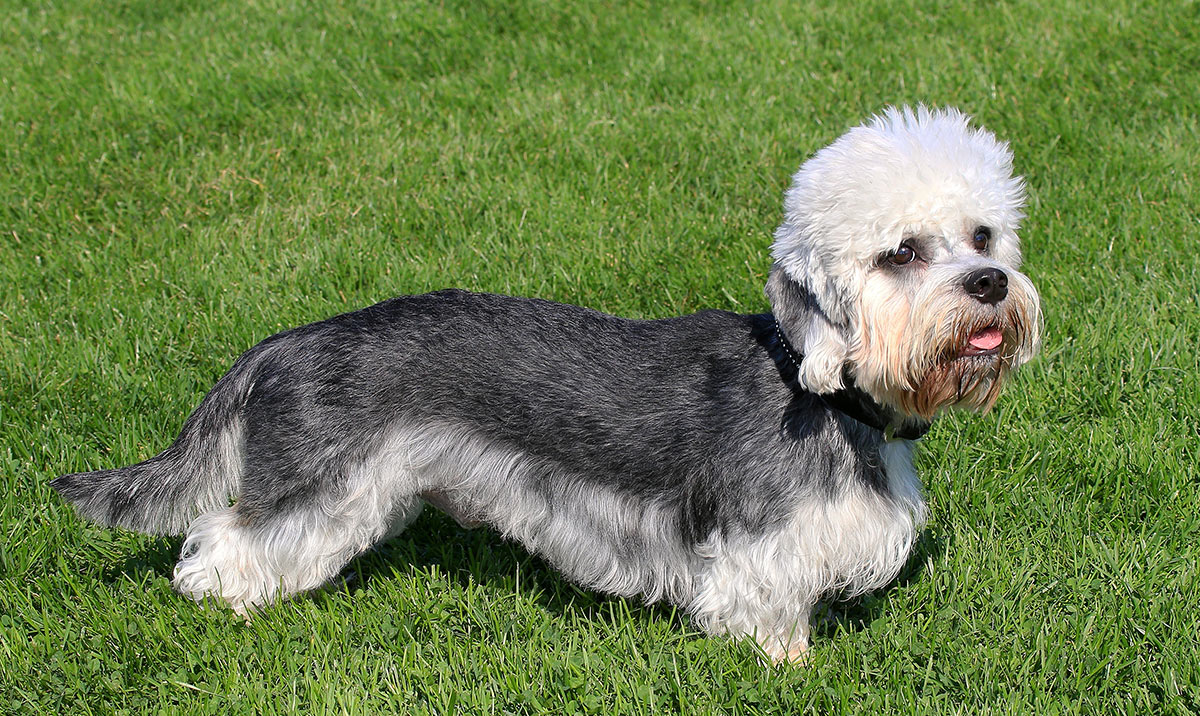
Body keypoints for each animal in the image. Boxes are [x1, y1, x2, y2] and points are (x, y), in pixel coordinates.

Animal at [51, 107, 1036, 666]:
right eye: (900, 253)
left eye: (983, 236)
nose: (991, 285)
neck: (821, 392)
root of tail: (280, 344)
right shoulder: (762, 551)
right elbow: (767, 613)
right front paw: (791, 666)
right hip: (316, 489)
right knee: (223, 541)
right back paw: (227, 605)